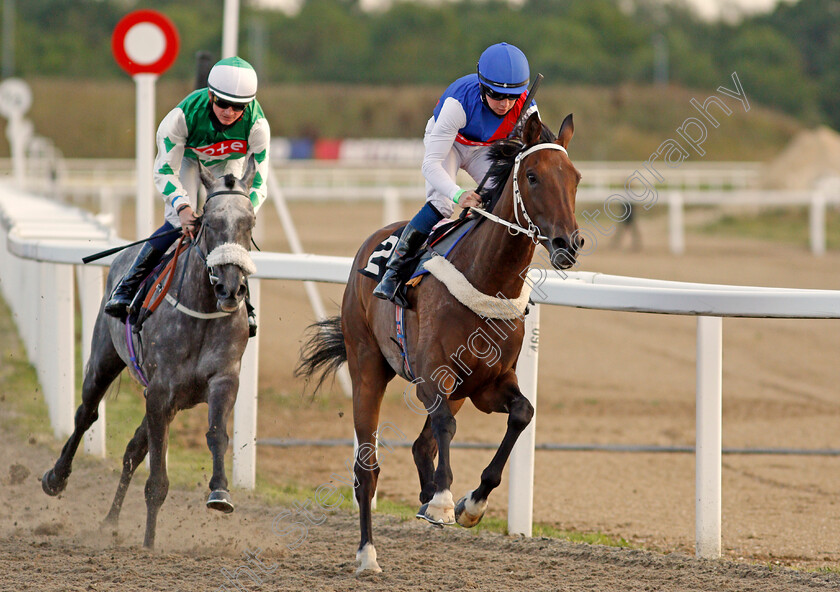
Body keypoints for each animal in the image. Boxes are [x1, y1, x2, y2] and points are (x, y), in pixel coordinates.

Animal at [41, 156, 258, 544]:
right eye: (211, 221)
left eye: (250, 223)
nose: (231, 288)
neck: (202, 311)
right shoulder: (160, 392)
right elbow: (157, 475)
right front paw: (149, 542)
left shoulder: (222, 380)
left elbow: (216, 434)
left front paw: (220, 492)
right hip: (103, 360)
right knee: (85, 415)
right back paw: (57, 477)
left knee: (132, 450)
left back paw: (110, 520)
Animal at [298, 112, 580, 572]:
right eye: (533, 176)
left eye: (575, 177)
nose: (568, 243)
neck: (487, 278)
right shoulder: (432, 377)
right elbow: (446, 425)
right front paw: (445, 500)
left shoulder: (488, 385)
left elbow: (522, 413)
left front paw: (471, 503)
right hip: (367, 367)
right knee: (367, 468)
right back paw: (368, 553)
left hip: (460, 389)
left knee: (420, 444)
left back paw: (424, 497)